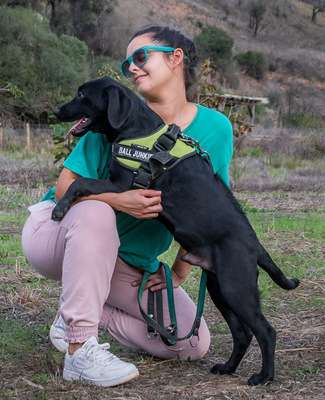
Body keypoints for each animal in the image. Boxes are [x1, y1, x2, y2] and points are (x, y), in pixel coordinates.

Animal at [52, 76, 298, 386]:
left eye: (82, 95)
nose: (56, 111)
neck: (137, 129)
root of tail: (256, 247)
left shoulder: (122, 186)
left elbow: (80, 183)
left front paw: (60, 208)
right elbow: (81, 182)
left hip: (237, 288)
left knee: (266, 331)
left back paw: (264, 376)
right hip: (220, 289)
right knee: (242, 333)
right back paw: (228, 367)